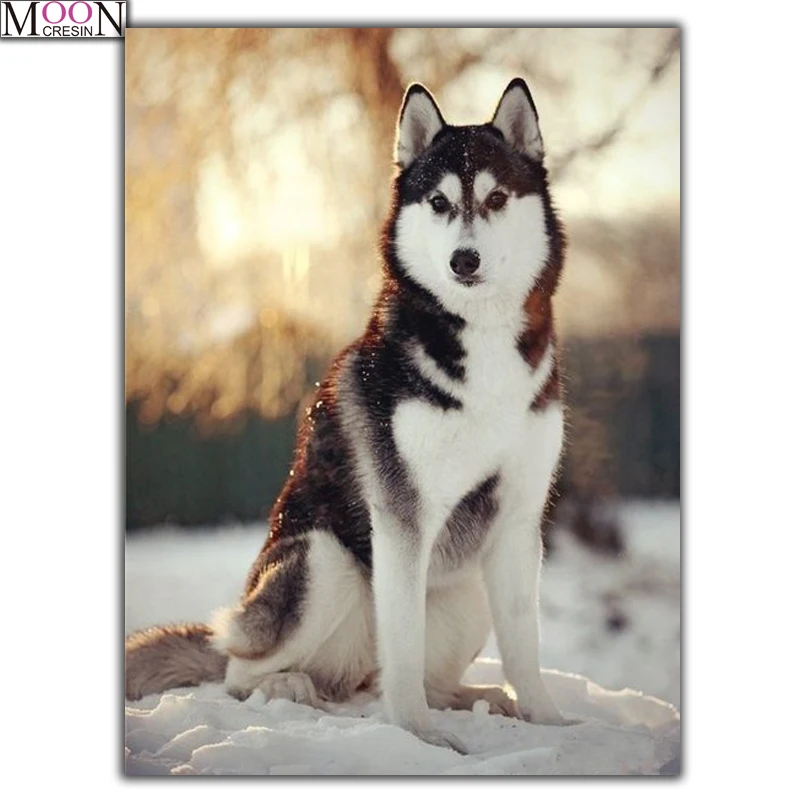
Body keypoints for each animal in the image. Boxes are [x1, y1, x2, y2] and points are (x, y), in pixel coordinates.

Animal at [126, 78, 568, 753]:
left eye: (495, 198)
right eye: (439, 202)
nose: (464, 261)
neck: (482, 341)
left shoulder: (519, 518)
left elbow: (525, 646)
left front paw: (549, 720)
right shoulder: (403, 517)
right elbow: (403, 649)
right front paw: (416, 736)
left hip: (467, 587)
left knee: (402, 676)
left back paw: (477, 698)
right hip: (323, 562)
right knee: (241, 670)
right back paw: (290, 686)